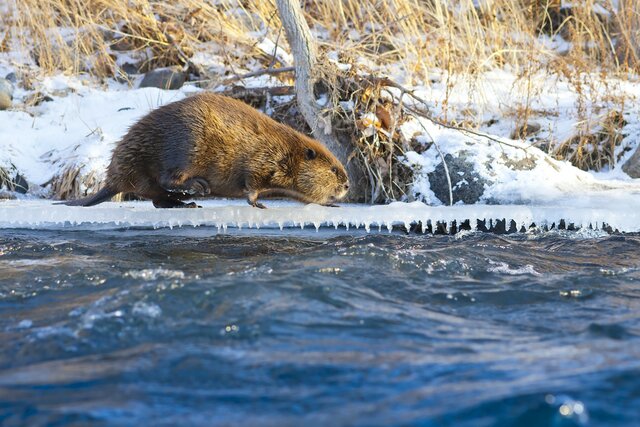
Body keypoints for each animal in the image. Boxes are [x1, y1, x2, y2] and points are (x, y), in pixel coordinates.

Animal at [63, 93, 350, 209]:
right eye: (334, 169)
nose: (348, 185)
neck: (285, 148)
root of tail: (113, 181)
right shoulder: (261, 159)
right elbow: (252, 184)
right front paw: (258, 203)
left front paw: (331, 204)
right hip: (187, 145)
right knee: (167, 180)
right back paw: (197, 189)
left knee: (157, 198)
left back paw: (186, 203)